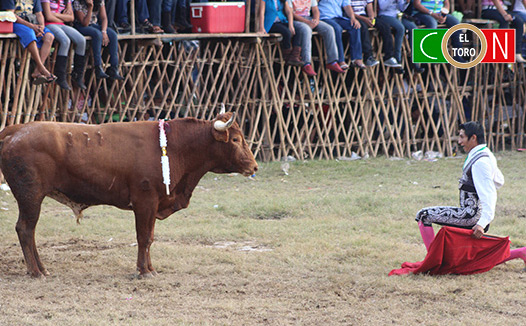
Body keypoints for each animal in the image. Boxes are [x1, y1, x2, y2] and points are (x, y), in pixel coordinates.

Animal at [0, 112, 258, 278]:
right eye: (236, 139)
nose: (253, 166)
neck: (175, 146)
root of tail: (16, 130)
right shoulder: (145, 200)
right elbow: (143, 237)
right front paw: (143, 271)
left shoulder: (154, 204)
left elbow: (150, 237)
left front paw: (150, 268)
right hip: (30, 196)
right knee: (26, 229)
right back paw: (36, 272)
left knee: (30, 231)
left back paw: (42, 268)